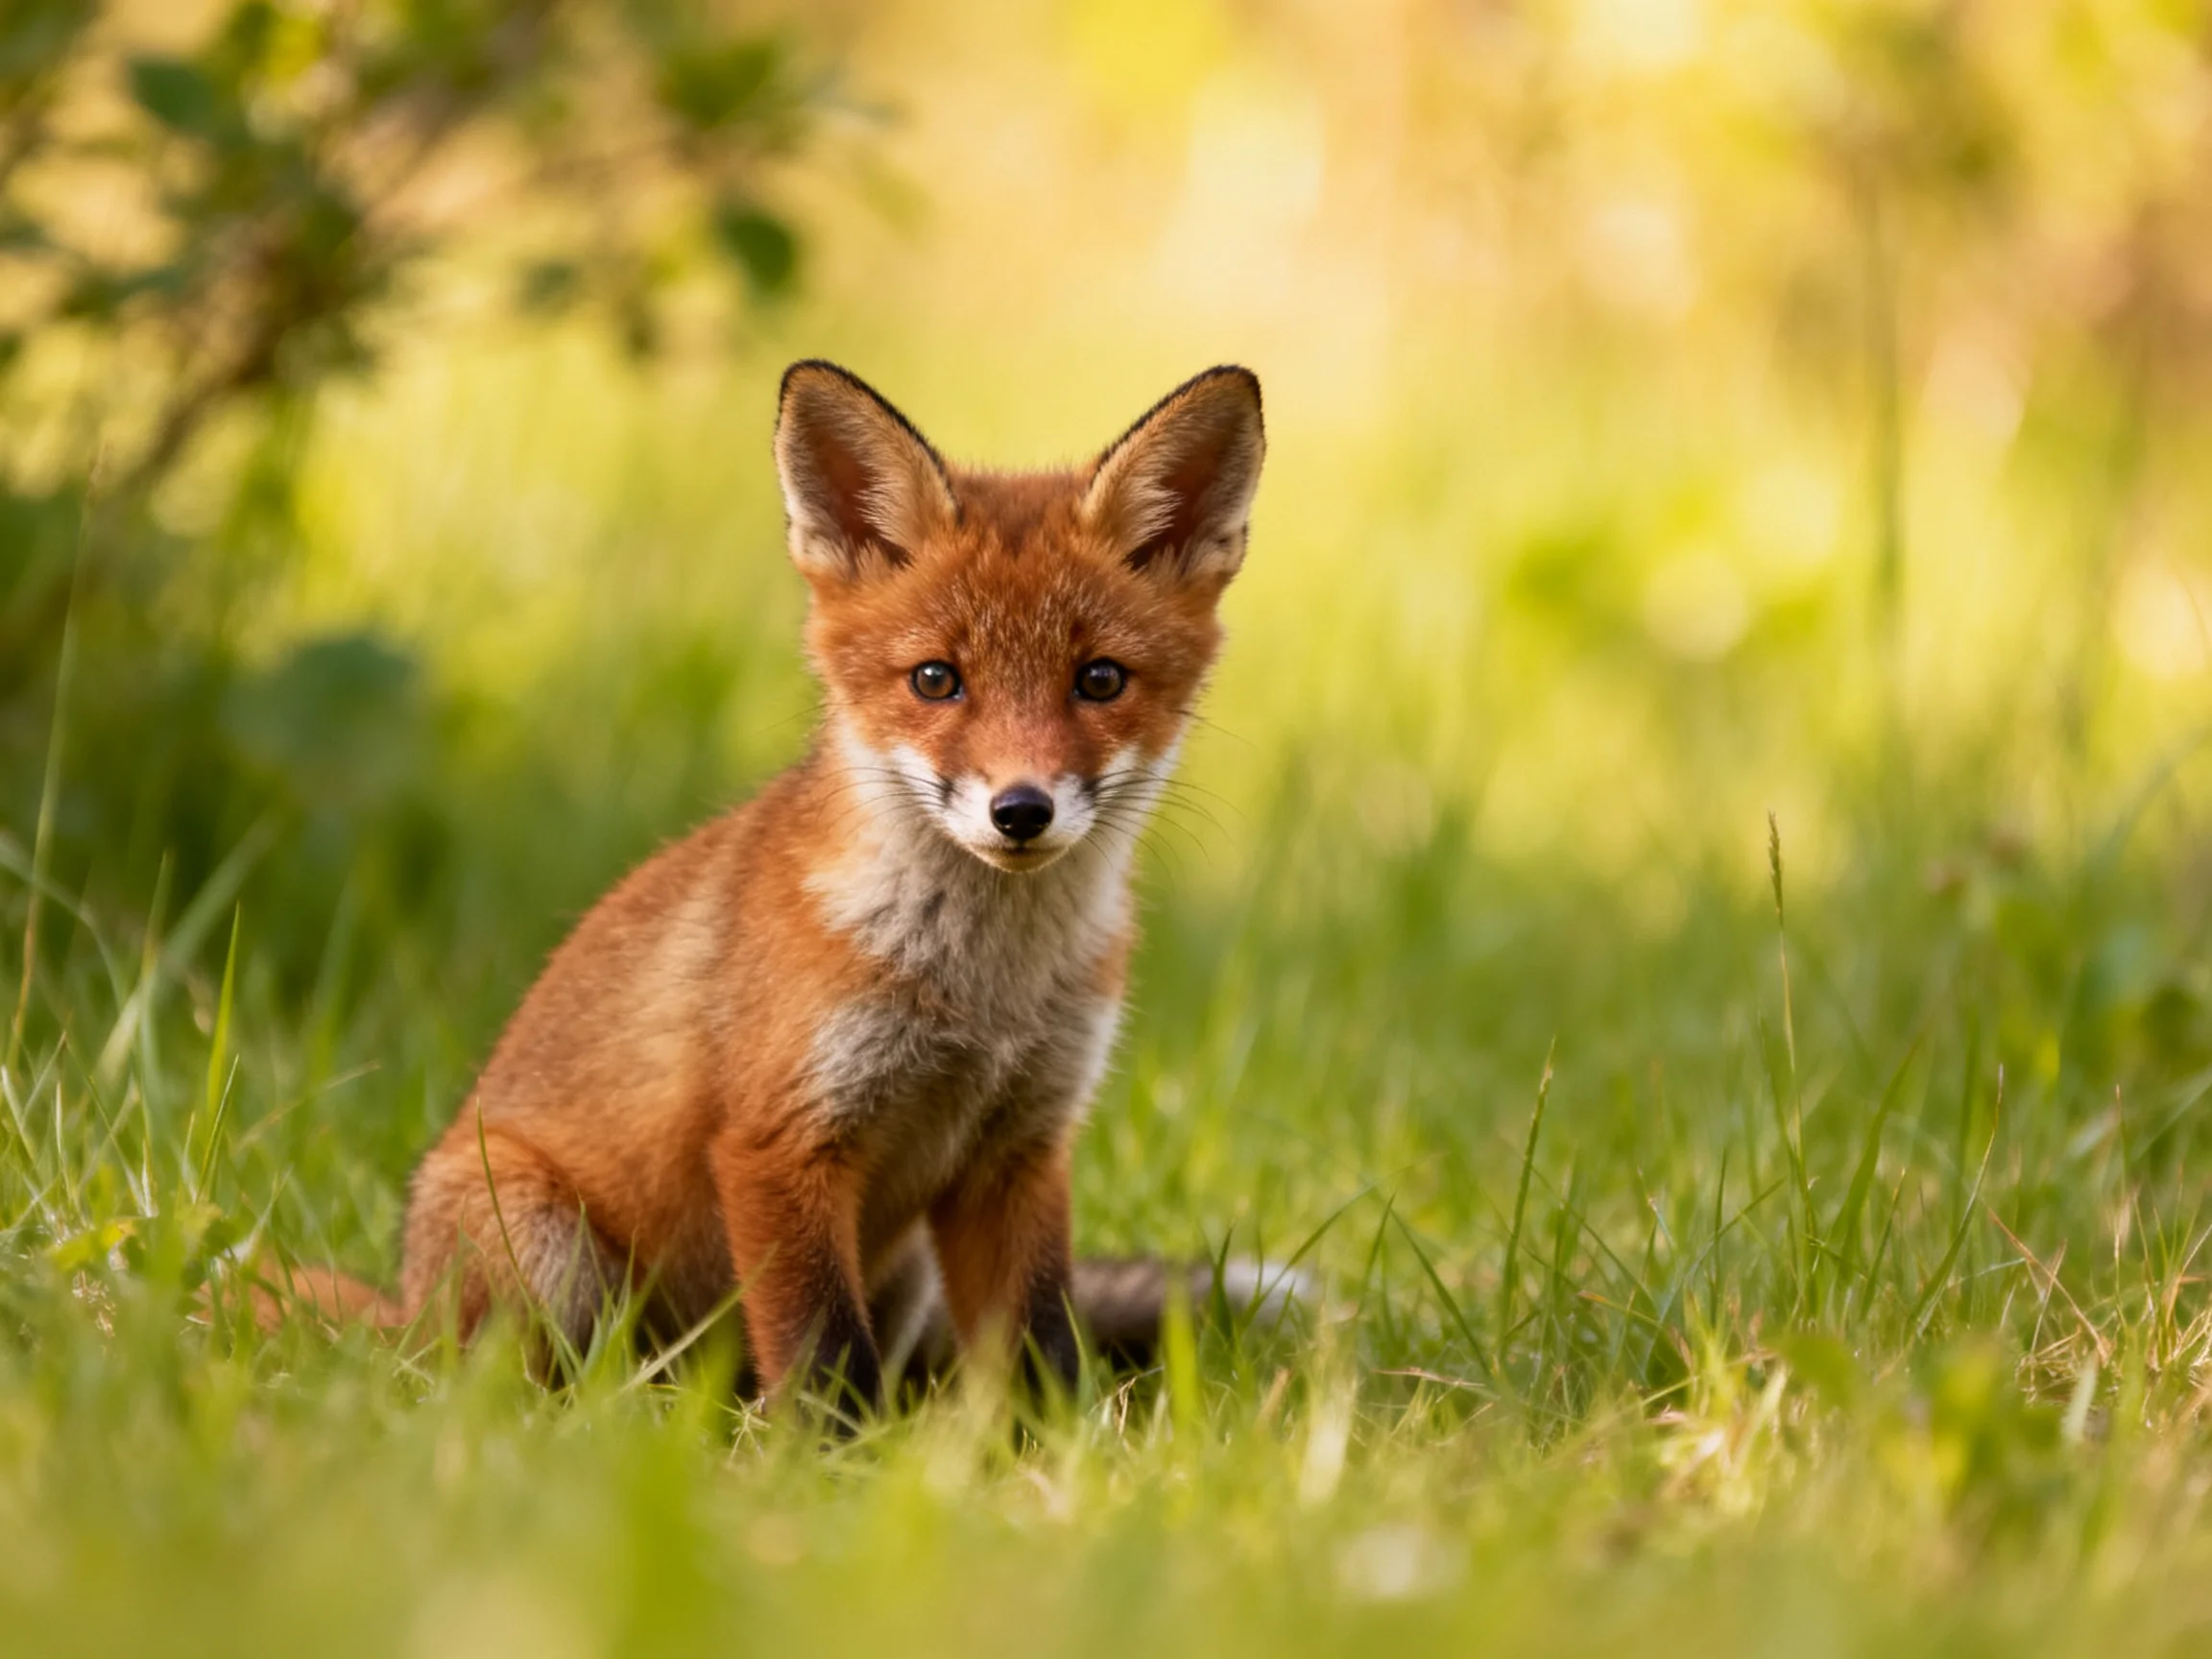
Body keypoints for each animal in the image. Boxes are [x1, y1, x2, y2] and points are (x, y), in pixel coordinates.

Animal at [270, 360, 1283, 1409]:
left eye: (1099, 680)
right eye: (936, 679)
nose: (1021, 810)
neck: (980, 995)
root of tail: (403, 1315)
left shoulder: (1022, 1147)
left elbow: (1040, 1342)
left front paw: (1052, 1443)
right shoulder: (777, 1142)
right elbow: (821, 1352)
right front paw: (835, 1451)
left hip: (906, 1272)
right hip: (540, 1248)